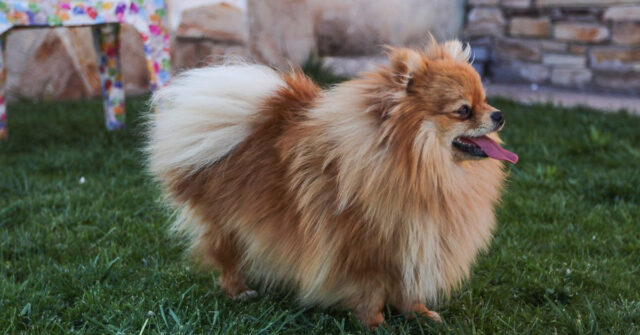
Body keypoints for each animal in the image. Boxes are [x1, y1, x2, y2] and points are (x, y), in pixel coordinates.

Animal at [145, 37, 516, 328]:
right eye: (463, 110)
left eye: (485, 99)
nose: (499, 114)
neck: (420, 167)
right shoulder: (367, 251)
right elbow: (370, 292)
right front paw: (376, 324)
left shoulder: (415, 243)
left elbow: (409, 288)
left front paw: (420, 314)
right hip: (229, 226)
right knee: (228, 260)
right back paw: (239, 291)